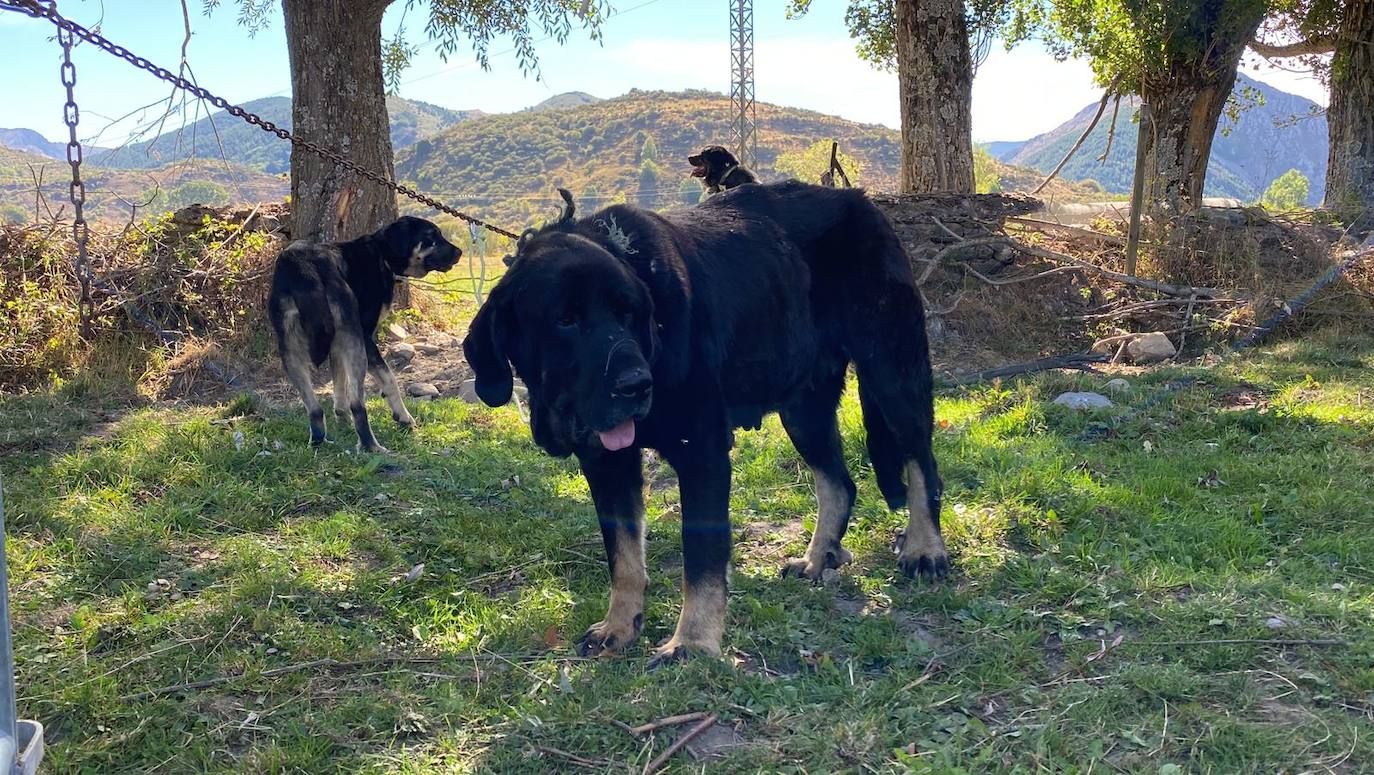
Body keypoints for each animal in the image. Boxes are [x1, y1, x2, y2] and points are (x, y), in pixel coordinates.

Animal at [267, 214, 461, 450]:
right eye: (431, 236)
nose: (460, 252)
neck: (381, 254)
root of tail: (304, 268)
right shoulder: (367, 337)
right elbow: (389, 380)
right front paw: (404, 418)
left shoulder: (337, 344)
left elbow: (339, 384)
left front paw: (342, 422)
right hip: (355, 345)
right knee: (357, 404)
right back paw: (371, 447)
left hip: (290, 350)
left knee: (314, 409)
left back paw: (319, 441)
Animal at [461, 182, 945, 665]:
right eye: (565, 320)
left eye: (630, 315)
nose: (638, 384)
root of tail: (861, 200)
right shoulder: (607, 464)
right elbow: (623, 556)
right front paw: (620, 626)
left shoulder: (702, 453)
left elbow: (701, 557)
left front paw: (692, 642)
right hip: (803, 408)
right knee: (840, 484)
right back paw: (817, 558)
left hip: (892, 374)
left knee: (923, 467)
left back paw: (925, 550)